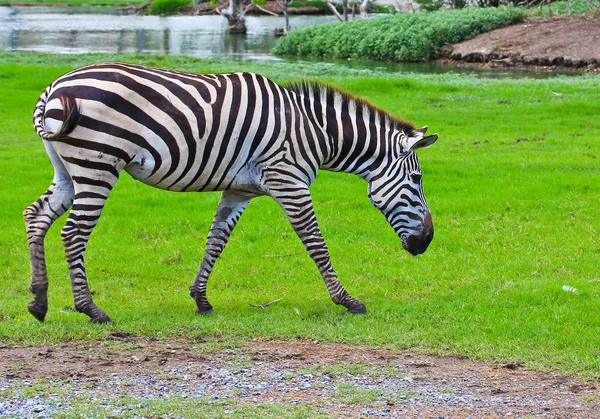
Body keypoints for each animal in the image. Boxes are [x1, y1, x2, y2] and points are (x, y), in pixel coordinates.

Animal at [24, 62, 436, 324]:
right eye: (417, 179)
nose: (427, 243)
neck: (315, 132)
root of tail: (54, 87)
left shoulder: (239, 190)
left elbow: (216, 241)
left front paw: (201, 299)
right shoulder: (289, 181)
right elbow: (316, 243)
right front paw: (348, 301)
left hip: (69, 168)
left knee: (36, 216)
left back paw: (39, 302)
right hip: (97, 164)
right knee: (73, 233)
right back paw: (90, 310)